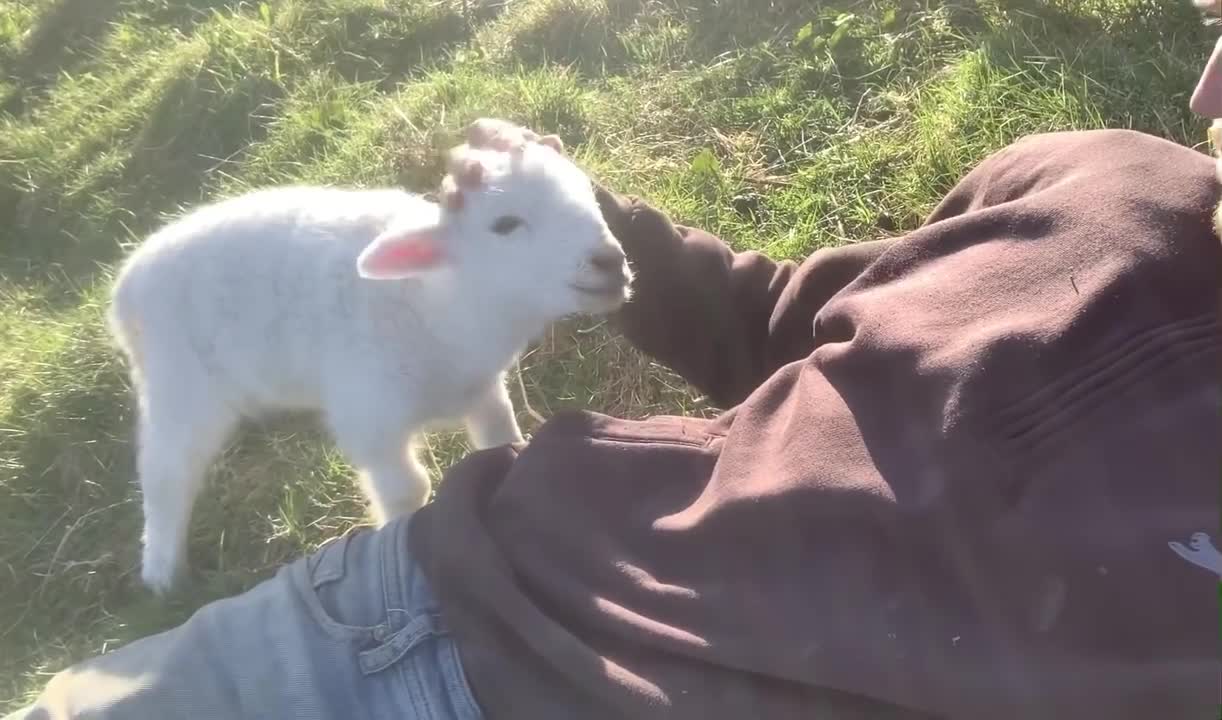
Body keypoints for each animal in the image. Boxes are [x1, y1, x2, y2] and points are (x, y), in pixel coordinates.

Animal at [109, 123, 635, 591]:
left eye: (587, 192)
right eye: (504, 224)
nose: (609, 261)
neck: (438, 305)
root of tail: (126, 287)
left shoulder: (482, 388)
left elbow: (500, 438)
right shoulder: (370, 418)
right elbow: (408, 488)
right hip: (179, 384)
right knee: (165, 471)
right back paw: (163, 573)